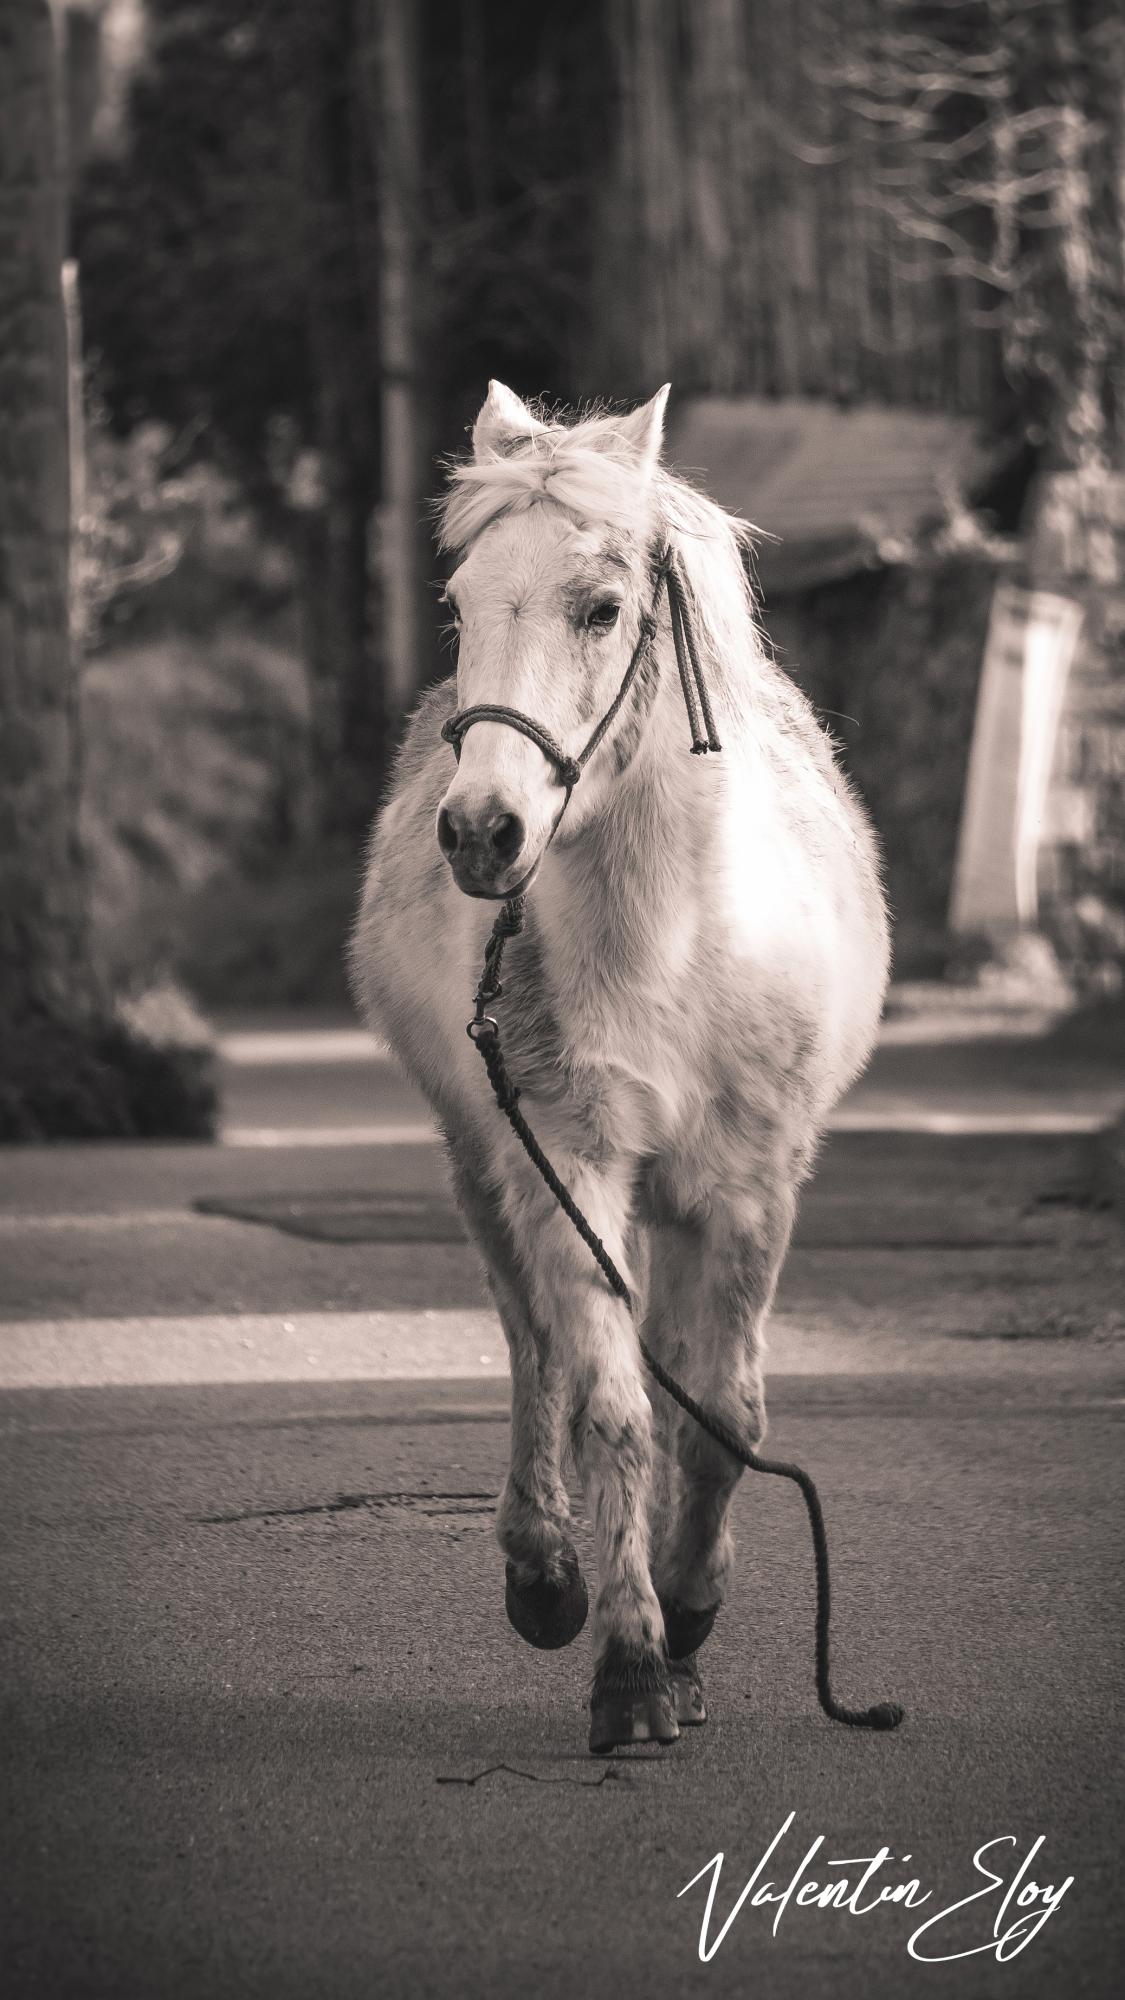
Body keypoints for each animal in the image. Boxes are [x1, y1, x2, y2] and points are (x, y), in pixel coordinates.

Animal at [350, 386, 884, 1752]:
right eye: (459, 606)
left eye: (599, 607)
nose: (480, 832)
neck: (672, 939)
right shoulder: (566, 1154)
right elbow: (612, 1401)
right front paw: (633, 1661)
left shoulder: (749, 1184)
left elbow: (728, 1415)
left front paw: (692, 1615)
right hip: (487, 1160)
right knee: (533, 1340)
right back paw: (544, 1570)